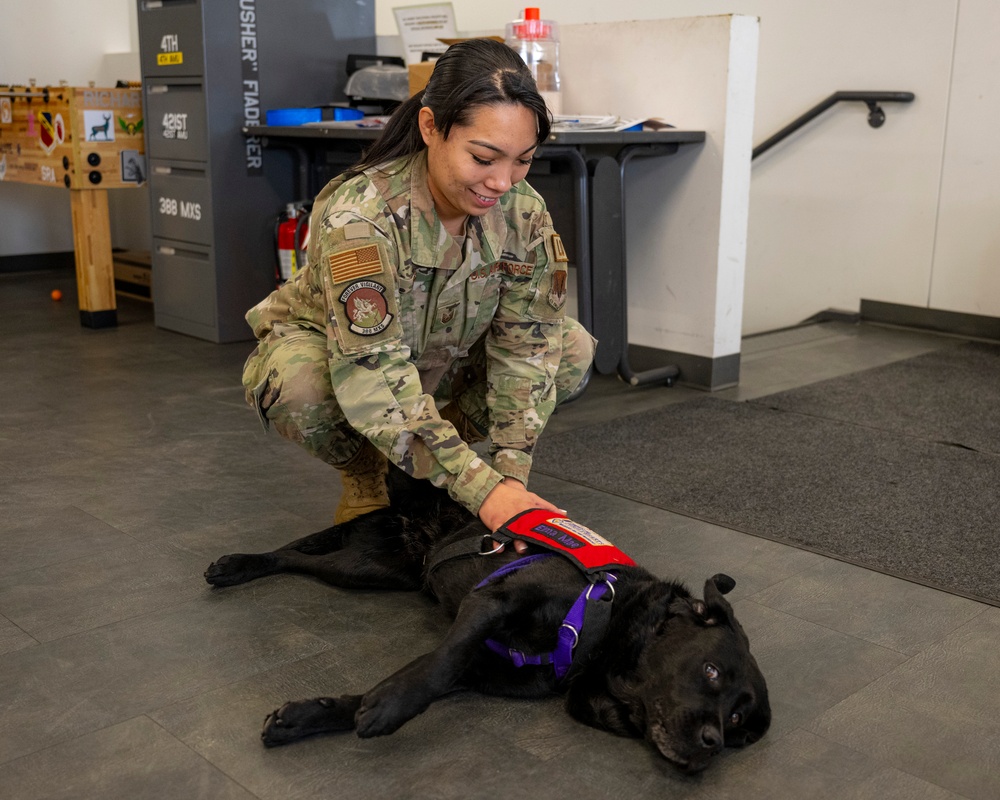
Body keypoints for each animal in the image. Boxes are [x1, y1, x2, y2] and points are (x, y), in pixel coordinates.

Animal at [201, 472, 764, 772]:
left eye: (738, 724)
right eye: (711, 672)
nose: (713, 746)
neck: (605, 623)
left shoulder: (483, 666)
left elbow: (414, 676)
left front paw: (310, 716)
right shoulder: (492, 602)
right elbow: (439, 663)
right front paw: (389, 707)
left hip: (375, 571)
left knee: (304, 557)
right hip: (359, 565)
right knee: (290, 555)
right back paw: (237, 565)